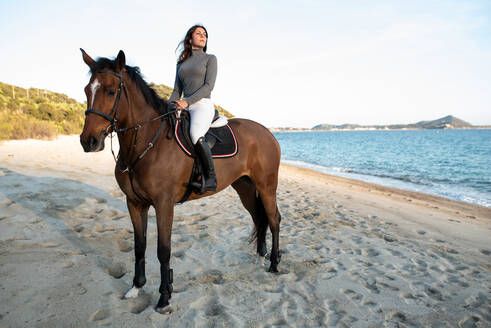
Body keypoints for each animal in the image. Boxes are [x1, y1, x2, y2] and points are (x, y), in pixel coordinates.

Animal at [79, 50, 282, 314]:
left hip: (267, 186)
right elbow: (139, 246)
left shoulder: (164, 204)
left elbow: (163, 250)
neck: (145, 144)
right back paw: (260, 256)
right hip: (245, 187)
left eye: (111, 91)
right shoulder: (134, 203)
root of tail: (267, 132)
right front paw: (136, 287)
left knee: (274, 219)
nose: (88, 141)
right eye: (87, 90)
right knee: (259, 217)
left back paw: (274, 264)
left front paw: (165, 297)